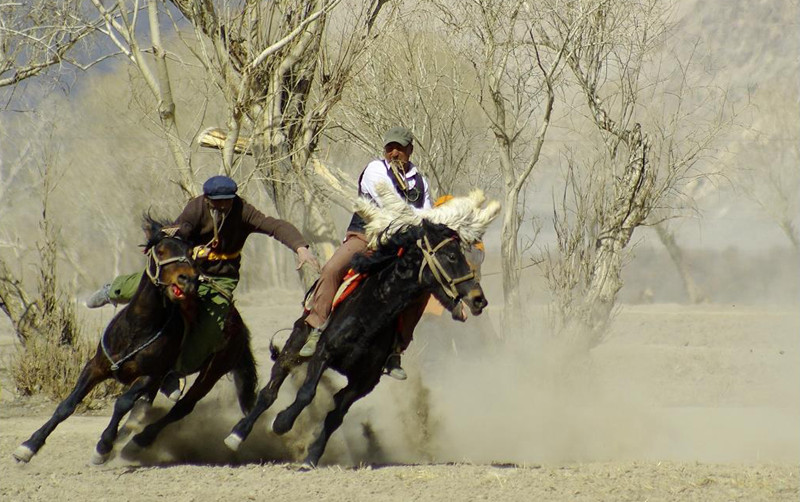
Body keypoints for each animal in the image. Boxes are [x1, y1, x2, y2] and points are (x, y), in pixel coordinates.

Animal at [12, 215, 256, 462]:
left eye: (190, 252)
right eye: (161, 250)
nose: (187, 279)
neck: (137, 328)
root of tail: (239, 324)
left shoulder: (149, 376)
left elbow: (122, 403)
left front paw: (103, 447)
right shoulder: (96, 366)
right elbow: (68, 405)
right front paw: (29, 446)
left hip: (212, 372)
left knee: (181, 408)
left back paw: (139, 441)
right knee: (147, 406)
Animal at [225, 184, 500, 466]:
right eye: (451, 255)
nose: (478, 299)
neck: (370, 317)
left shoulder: (364, 383)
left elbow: (335, 416)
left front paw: (312, 455)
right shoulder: (323, 354)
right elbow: (306, 392)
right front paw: (282, 423)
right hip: (296, 343)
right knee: (271, 387)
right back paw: (238, 434)